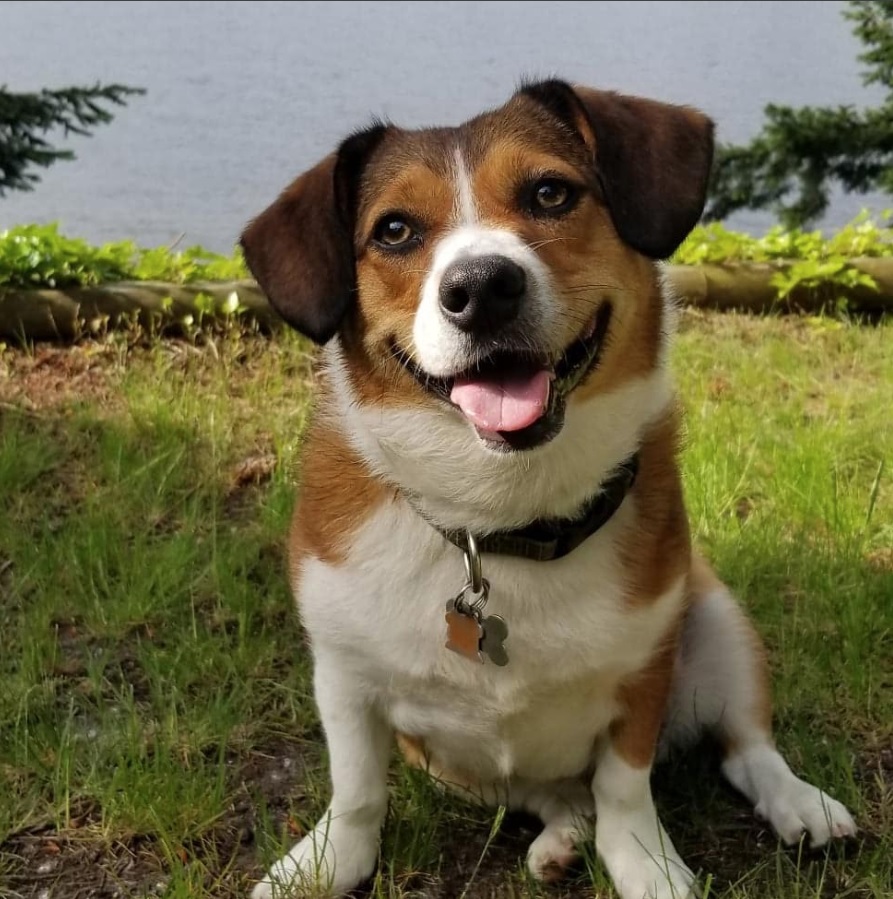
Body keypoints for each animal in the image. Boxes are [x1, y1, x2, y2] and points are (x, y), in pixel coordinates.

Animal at [240, 79, 852, 899]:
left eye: (550, 192)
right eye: (395, 230)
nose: (480, 288)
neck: (498, 517)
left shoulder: (643, 672)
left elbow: (625, 787)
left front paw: (647, 864)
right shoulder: (343, 673)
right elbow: (358, 788)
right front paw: (326, 861)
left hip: (719, 619)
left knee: (743, 745)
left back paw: (798, 803)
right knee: (553, 795)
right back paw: (561, 835)